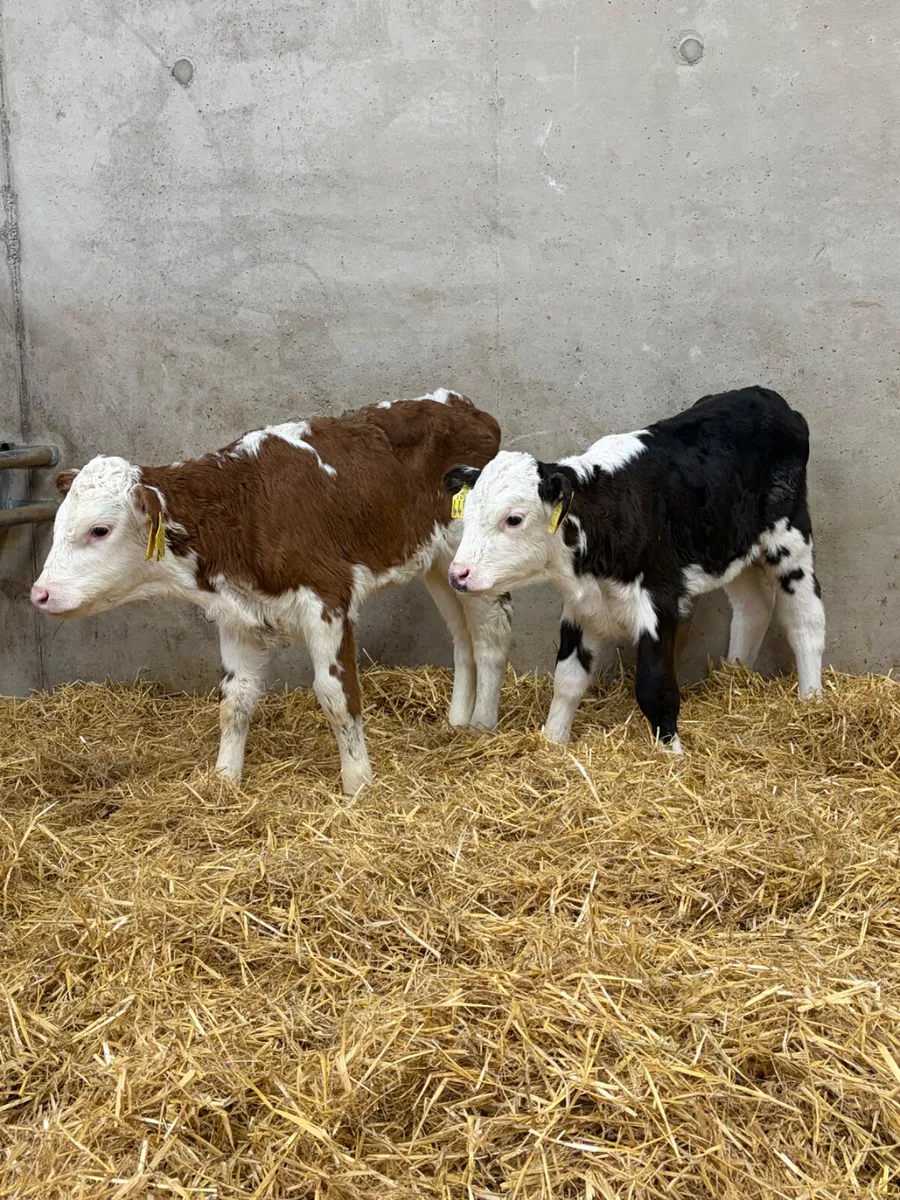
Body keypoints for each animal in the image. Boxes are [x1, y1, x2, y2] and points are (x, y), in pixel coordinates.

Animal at [31, 389, 513, 794]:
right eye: (57, 525)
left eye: (99, 530)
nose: (39, 594)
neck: (244, 509)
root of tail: (465, 407)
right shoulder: (237, 614)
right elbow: (235, 699)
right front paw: (224, 781)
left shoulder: (327, 599)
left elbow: (338, 696)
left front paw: (358, 785)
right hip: (441, 566)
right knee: (462, 636)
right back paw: (457, 721)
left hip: (477, 563)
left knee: (491, 639)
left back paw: (482, 727)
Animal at [444, 386, 825, 754]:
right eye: (467, 513)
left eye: (514, 518)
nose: (458, 573)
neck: (607, 517)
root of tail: (772, 400)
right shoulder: (581, 606)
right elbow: (568, 679)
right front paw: (552, 742)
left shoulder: (658, 601)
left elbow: (655, 688)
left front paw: (673, 757)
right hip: (731, 548)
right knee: (754, 607)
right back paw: (734, 675)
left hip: (791, 538)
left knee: (805, 619)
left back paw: (811, 700)